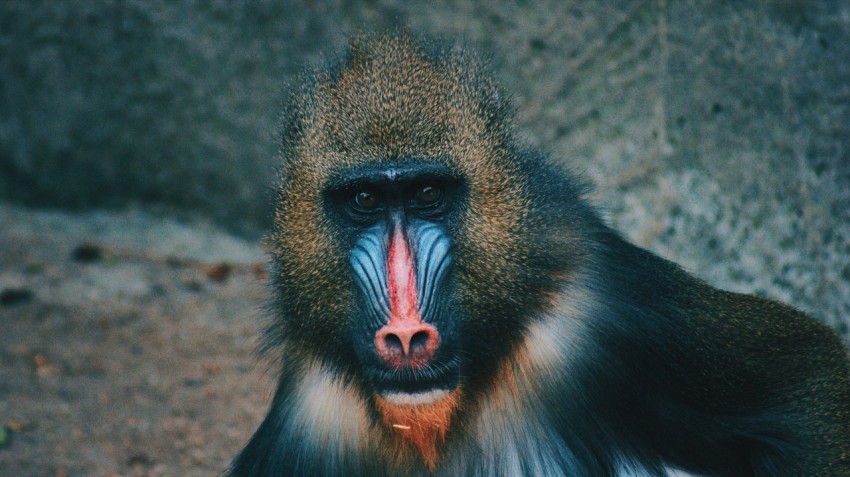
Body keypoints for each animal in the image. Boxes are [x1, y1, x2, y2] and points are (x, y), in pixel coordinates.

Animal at [229, 33, 850, 477]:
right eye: (363, 200)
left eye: (428, 195)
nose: (406, 335)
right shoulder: (310, 414)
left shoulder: (600, 307)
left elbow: (804, 381)